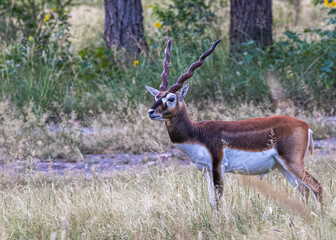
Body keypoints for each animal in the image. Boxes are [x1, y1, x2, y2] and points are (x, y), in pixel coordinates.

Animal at [145, 39, 322, 206]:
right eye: (156, 97)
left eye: (171, 98)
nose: (151, 112)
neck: (197, 132)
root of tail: (305, 126)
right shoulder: (206, 171)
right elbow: (212, 202)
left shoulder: (218, 167)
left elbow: (219, 201)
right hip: (282, 166)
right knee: (303, 190)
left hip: (292, 162)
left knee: (316, 187)